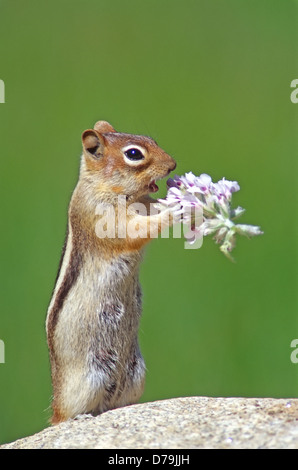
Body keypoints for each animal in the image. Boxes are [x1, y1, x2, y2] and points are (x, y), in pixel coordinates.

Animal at [46, 119, 177, 424]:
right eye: (134, 154)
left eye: (152, 140)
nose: (173, 165)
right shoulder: (105, 218)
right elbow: (136, 231)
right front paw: (176, 212)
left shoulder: (144, 202)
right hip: (89, 380)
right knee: (66, 417)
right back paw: (79, 418)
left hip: (135, 375)